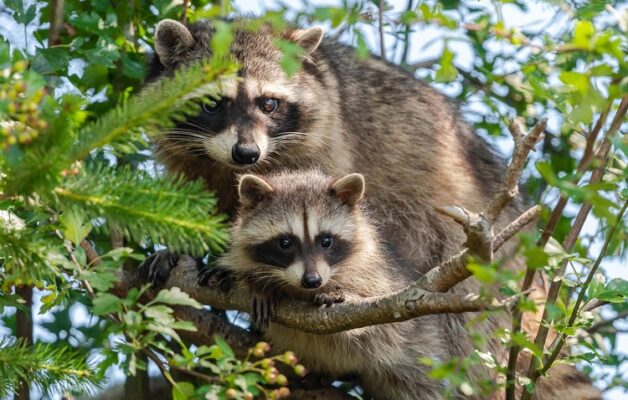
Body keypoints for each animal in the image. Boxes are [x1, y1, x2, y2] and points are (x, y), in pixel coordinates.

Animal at [209, 170, 448, 400]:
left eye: (326, 241)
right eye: (285, 242)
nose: (312, 280)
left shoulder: (376, 272)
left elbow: (375, 317)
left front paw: (347, 295)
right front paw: (254, 283)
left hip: (417, 353)